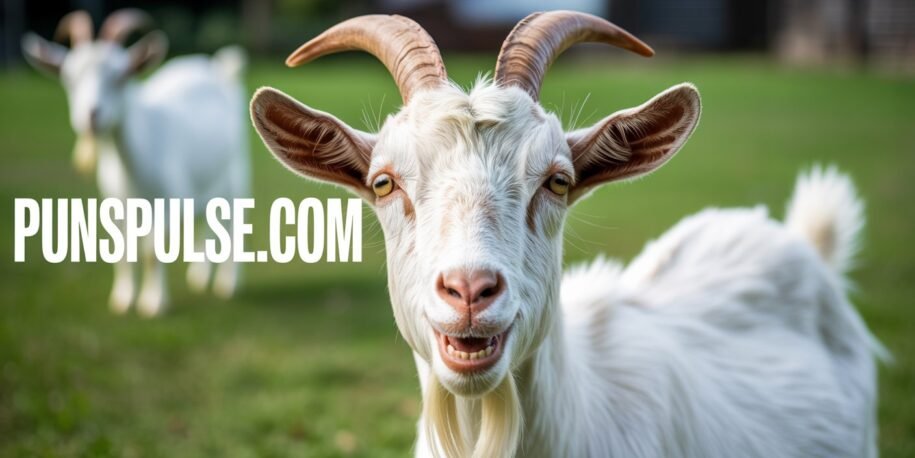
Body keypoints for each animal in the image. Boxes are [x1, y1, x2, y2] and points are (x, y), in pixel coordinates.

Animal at [23, 10, 250, 317]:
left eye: (121, 77)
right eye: (69, 79)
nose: (91, 116)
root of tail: (218, 70)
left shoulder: (168, 203)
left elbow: (152, 251)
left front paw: (153, 304)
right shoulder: (116, 206)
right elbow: (122, 252)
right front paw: (122, 300)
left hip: (236, 176)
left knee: (233, 226)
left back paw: (228, 284)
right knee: (203, 222)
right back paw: (200, 277)